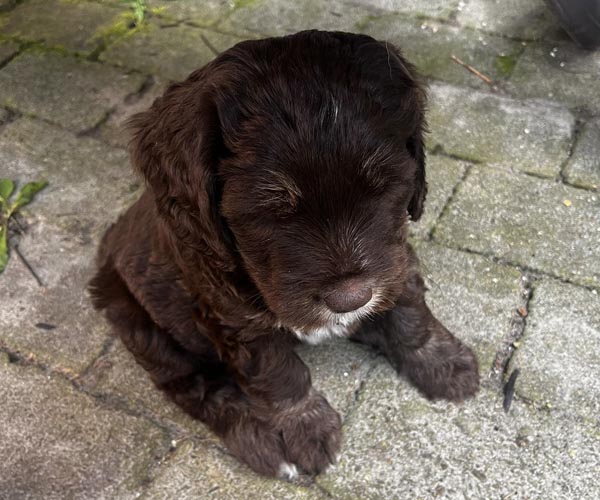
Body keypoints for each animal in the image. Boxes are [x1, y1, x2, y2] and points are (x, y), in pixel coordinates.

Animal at [89, 30, 479, 479]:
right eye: (272, 209)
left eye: (383, 188)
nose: (351, 299)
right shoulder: (231, 318)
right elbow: (277, 373)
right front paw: (304, 429)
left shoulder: (395, 259)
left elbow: (409, 310)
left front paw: (442, 362)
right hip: (135, 318)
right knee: (192, 384)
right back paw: (258, 437)